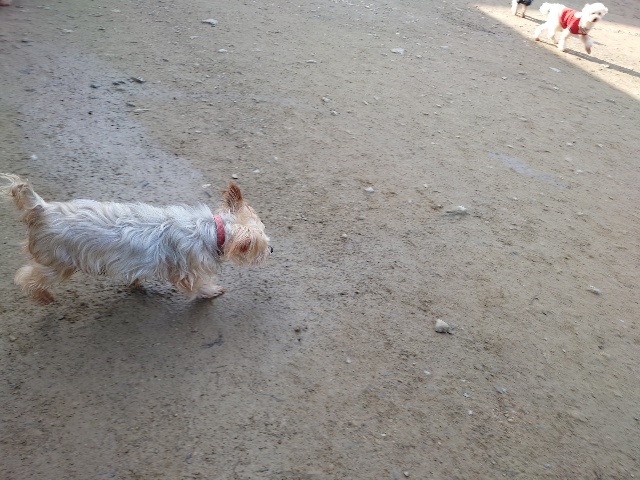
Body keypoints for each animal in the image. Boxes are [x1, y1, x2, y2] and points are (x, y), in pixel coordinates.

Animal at [1, 174, 272, 304]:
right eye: (259, 247)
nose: (271, 251)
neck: (215, 231)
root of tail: (42, 209)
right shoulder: (188, 271)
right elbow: (198, 285)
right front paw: (212, 291)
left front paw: (136, 283)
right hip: (58, 262)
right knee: (26, 277)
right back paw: (42, 296)